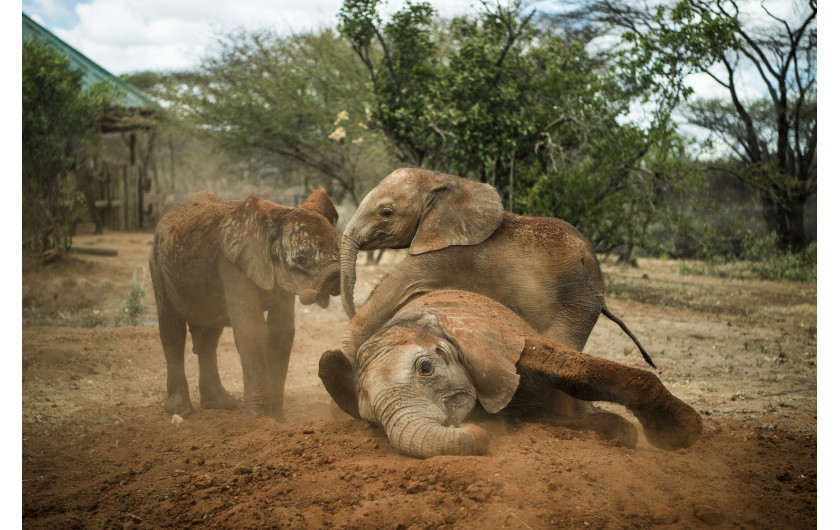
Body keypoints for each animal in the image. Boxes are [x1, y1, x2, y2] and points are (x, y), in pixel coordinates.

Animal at [150, 188, 342, 418]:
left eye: (339, 249)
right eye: (300, 259)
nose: (335, 276)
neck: (276, 216)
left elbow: (281, 332)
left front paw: (277, 420)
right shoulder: (232, 263)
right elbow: (251, 330)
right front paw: (259, 420)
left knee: (209, 337)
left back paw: (220, 405)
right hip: (158, 266)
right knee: (173, 331)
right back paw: (181, 410)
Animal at [322, 288, 704, 458]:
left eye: (426, 368)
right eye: (371, 420)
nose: (464, 427)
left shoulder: (494, 340)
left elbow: (573, 370)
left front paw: (681, 435)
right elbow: (536, 416)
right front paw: (618, 431)